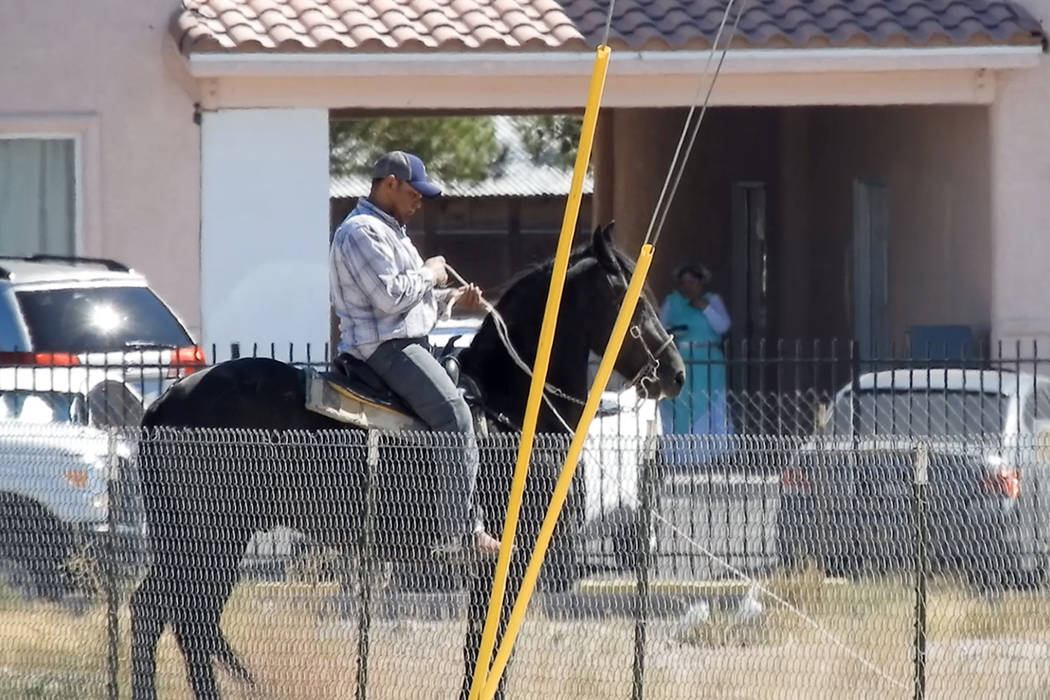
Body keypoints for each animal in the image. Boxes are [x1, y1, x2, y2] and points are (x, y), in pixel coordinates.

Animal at [129, 223, 688, 696]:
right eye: (632, 300)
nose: (676, 372)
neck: (507, 405)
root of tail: (165, 402)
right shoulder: (505, 557)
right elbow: (487, 649)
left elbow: (485, 648)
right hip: (211, 535)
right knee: (177, 616)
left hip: (200, 536)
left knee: (175, 616)